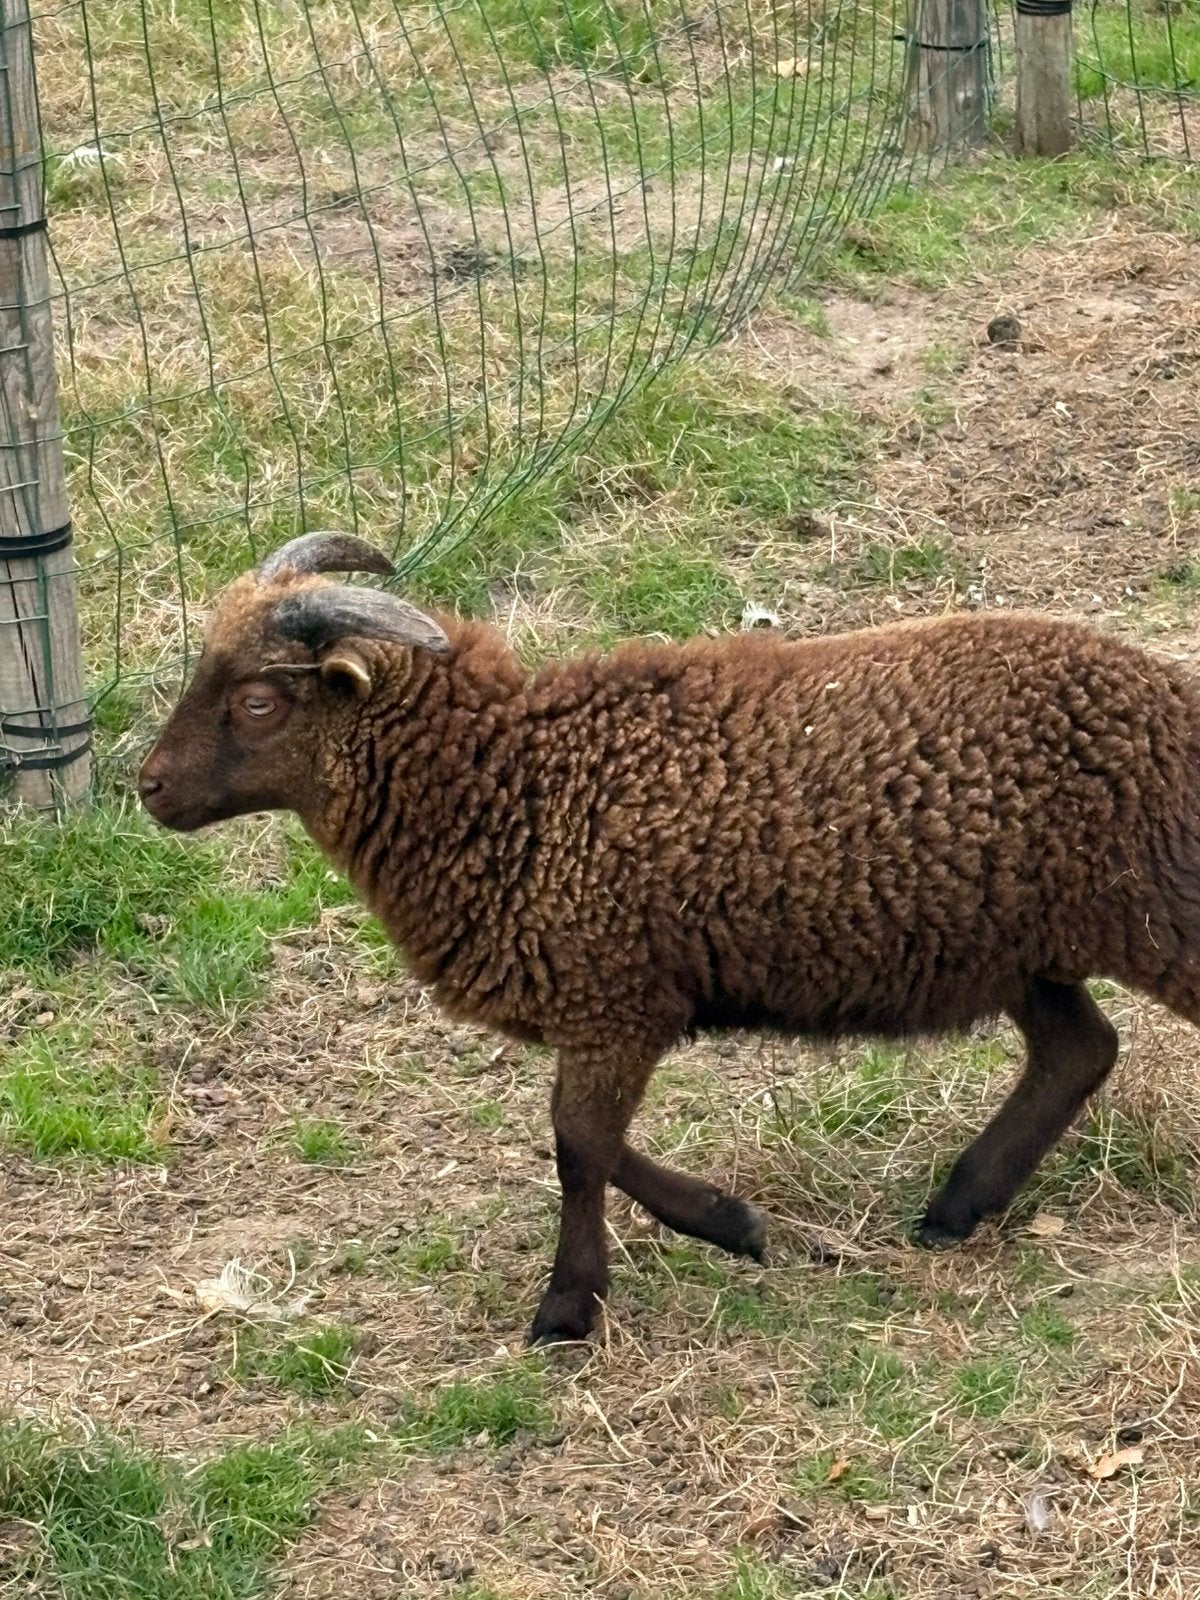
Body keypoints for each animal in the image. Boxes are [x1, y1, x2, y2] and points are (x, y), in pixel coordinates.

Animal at [139, 530, 1200, 1344]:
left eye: (259, 701)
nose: (150, 788)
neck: (513, 782)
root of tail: (1168, 698)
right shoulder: (619, 1003)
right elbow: (592, 1141)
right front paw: (734, 1226)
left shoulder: (614, 999)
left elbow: (578, 1145)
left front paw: (569, 1308)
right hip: (1016, 944)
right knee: (1077, 1051)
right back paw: (955, 1209)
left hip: (1153, 914)